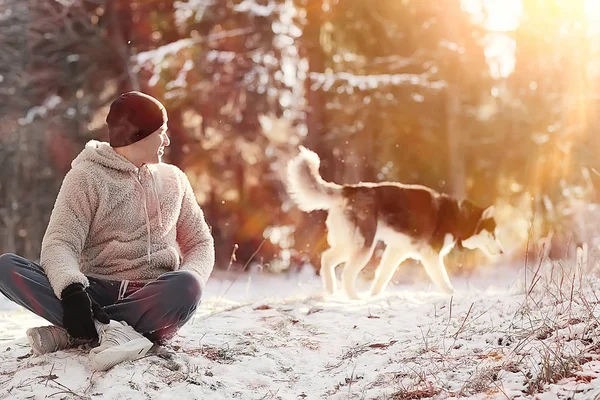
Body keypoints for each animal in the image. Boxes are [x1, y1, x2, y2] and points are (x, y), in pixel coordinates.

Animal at [286, 146, 502, 296]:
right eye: (493, 233)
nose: (502, 252)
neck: (458, 217)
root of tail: (350, 189)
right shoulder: (431, 256)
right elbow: (443, 280)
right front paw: (453, 295)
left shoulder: (396, 251)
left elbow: (382, 277)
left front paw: (374, 297)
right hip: (364, 246)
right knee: (346, 273)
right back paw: (353, 298)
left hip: (349, 243)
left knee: (326, 258)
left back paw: (331, 291)